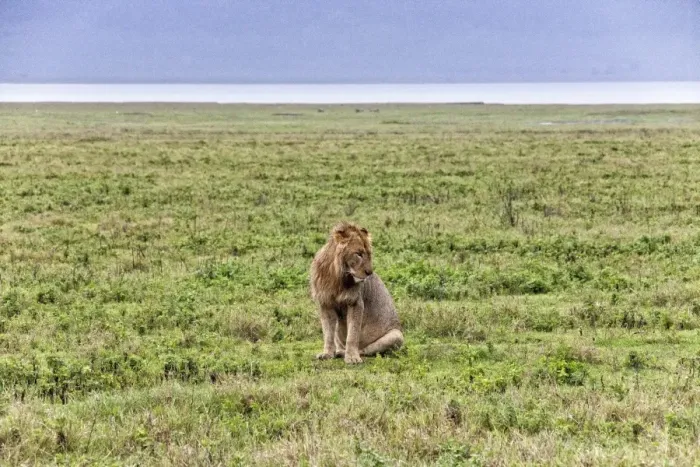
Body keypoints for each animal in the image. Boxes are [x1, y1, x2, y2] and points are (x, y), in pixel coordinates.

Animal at [310, 221, 404, 364]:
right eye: (358, 253)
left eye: (369, 254)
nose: (370, 272)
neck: (337, 278)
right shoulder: (325, 303)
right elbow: (328, 333)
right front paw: (327, 354)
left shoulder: (355, 302)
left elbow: (353, 334)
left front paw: (352, 358)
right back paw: (338, 351)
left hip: (397, 335)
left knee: (366, 350)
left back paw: (349, 353)